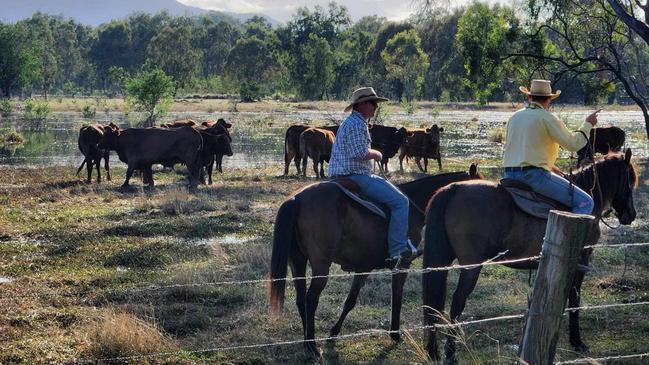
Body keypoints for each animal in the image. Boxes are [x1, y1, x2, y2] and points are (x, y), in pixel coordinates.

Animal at [268, 166, 480, 356]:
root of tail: (296, 199)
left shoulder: (364, 267)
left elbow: (350, 301)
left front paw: (334, 332)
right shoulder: (402, 264)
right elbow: (397, 295)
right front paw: (395, 333)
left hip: (297, 261)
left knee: (300, 299)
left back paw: (306, 341)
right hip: (321, 265)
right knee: (311, 299)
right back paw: (312, 346)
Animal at [420, 149, 636, 362]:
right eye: (630, 179)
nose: (631, 215)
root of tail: (453, 189)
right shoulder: (582, 259)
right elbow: (574, 298)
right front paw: (577, 341)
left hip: (442, 262)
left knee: (433, 305)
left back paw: (433, 351)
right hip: (472, 266)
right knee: (457, 303)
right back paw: (450, 354)